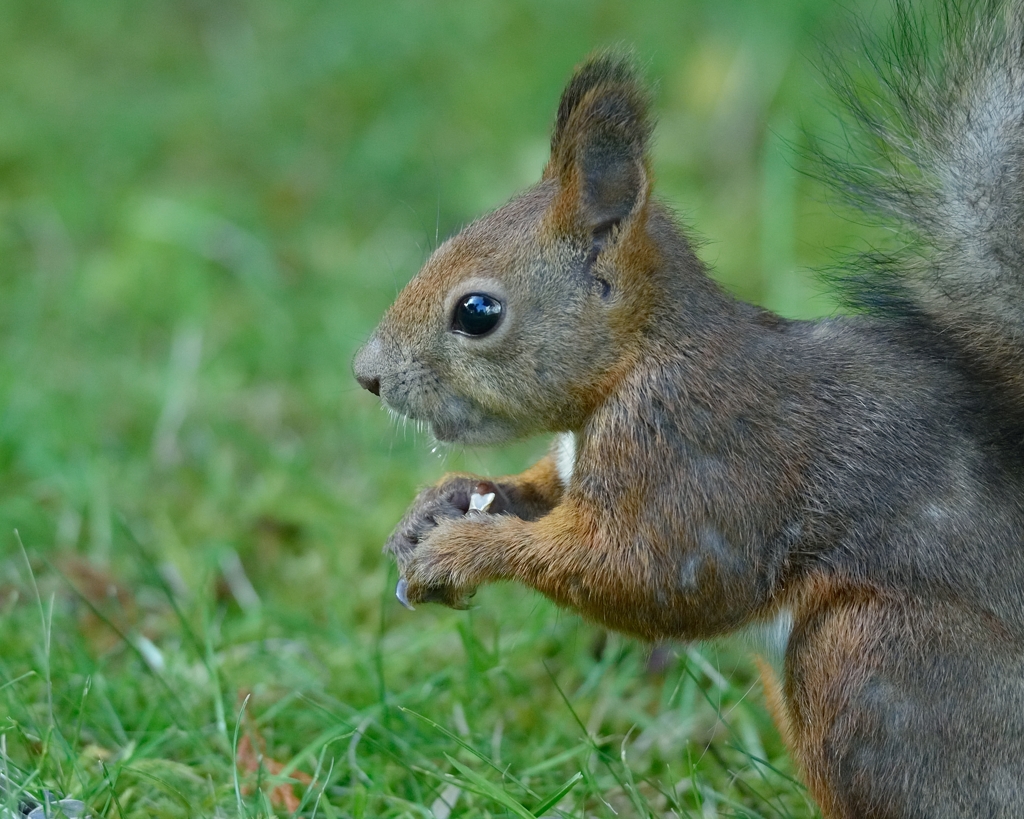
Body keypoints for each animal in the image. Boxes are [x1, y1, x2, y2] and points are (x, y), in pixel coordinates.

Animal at [352, 3, 1024, 814]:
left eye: (477, 312)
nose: (367, 376)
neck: (636, 364)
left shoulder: (694, 457)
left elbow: (648, 576)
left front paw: (465, 549)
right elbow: (539, 494)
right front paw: (439, 505)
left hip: (875, 656)